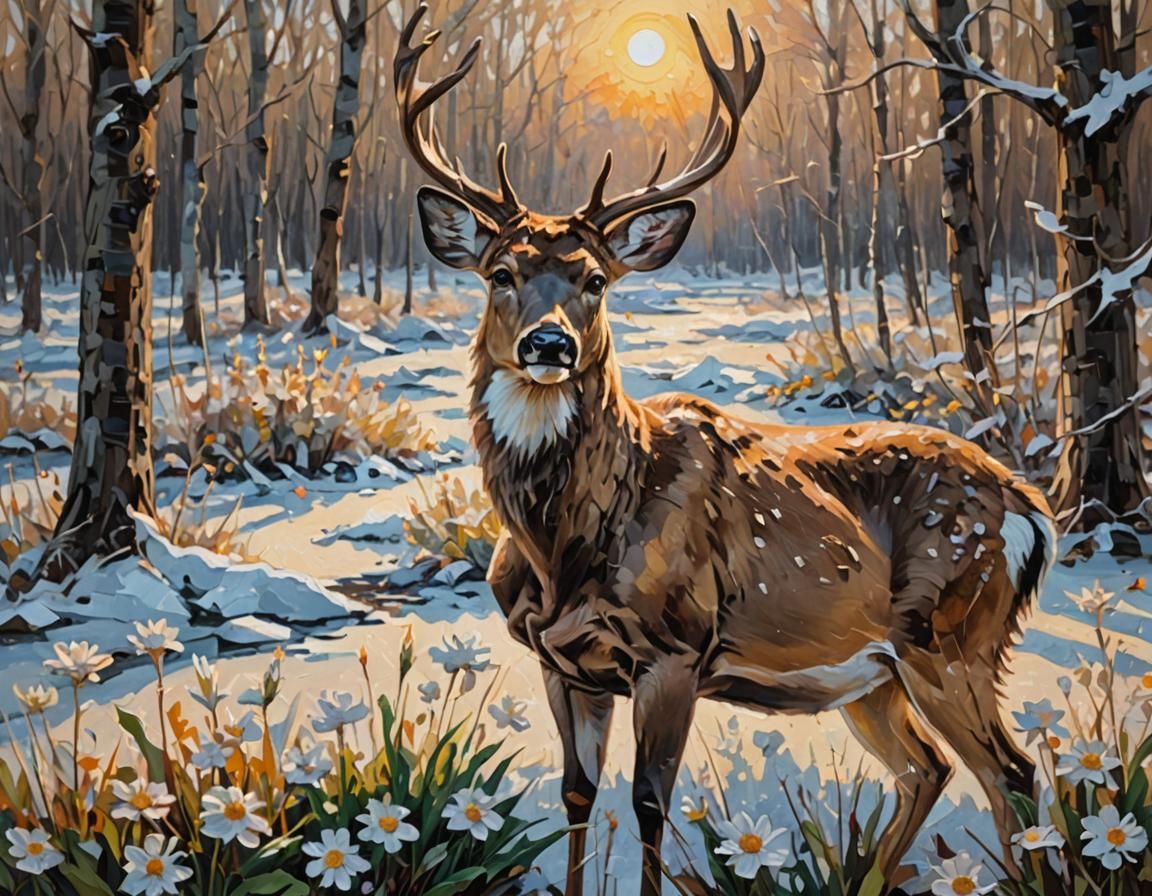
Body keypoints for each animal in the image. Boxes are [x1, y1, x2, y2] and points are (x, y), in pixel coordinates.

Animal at [395, 6, 1055, 895]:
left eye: (596, 280)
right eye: (500, 273)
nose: (548, 344)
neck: (563, 548)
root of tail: (1031, 508)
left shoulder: (676, 647)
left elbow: (648, 804)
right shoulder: (562, 661)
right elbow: (576, 795)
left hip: (953, 635)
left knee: (1009, 775)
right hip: (875, 674)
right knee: (928, 769)